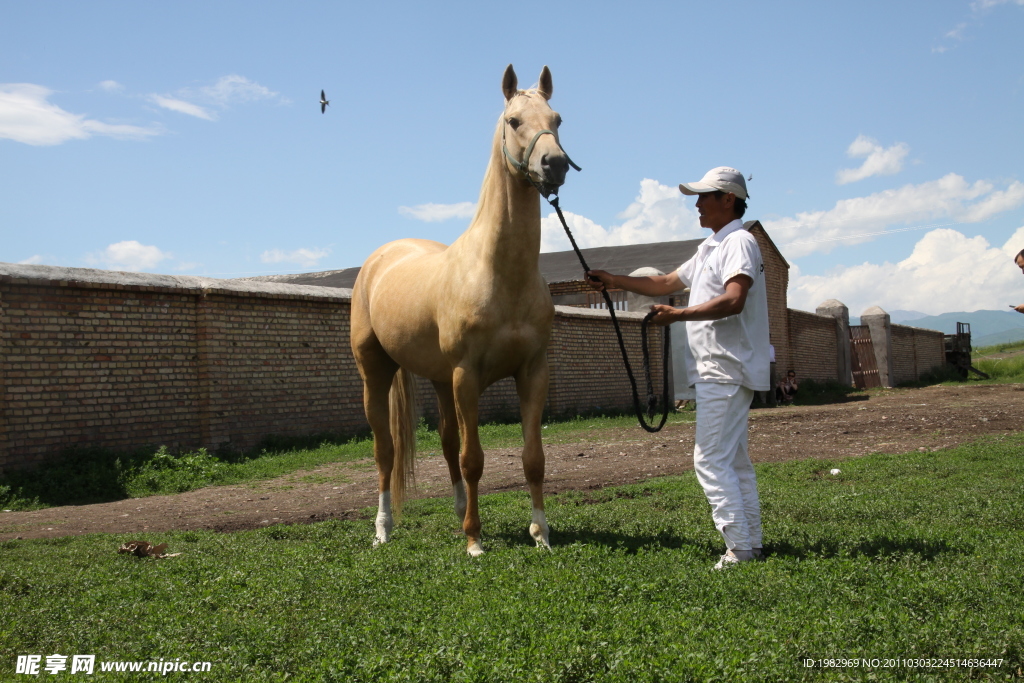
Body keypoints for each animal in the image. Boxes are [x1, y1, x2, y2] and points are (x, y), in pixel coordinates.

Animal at [350, 63, 577, 557]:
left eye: (557, 119)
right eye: (514, 121)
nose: (554, 164)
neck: (498, 274)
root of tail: (379, 258)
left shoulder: (533, 371)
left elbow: (533, 458)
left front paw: (541, 533)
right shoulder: (467, 375)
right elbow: (474, 459)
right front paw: (474, 541)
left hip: (439, 379)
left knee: (447, 441)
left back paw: (457, 514)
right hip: (376, 372)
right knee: (385, 451)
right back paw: (383, 528)